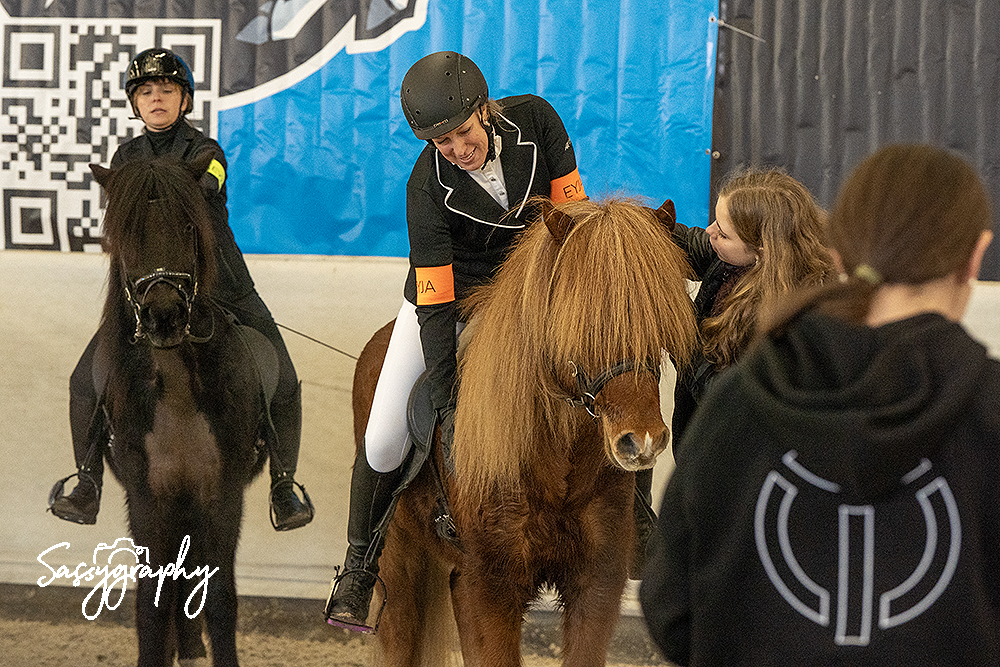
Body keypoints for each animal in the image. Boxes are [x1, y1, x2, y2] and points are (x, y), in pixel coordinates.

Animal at [89, 155, 274, 664]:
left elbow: (221, 599)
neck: (175, 389)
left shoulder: (221, 493)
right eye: (125, 230)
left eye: (190, 226)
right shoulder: (148, 496)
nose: (164, 315)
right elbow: (152, 605)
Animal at [356, 200, 700, 667]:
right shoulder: (490, 587)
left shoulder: (596, 584)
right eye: (581, 322)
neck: (558, 464)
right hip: (400, 562)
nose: (641, 441)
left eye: (659, 322)